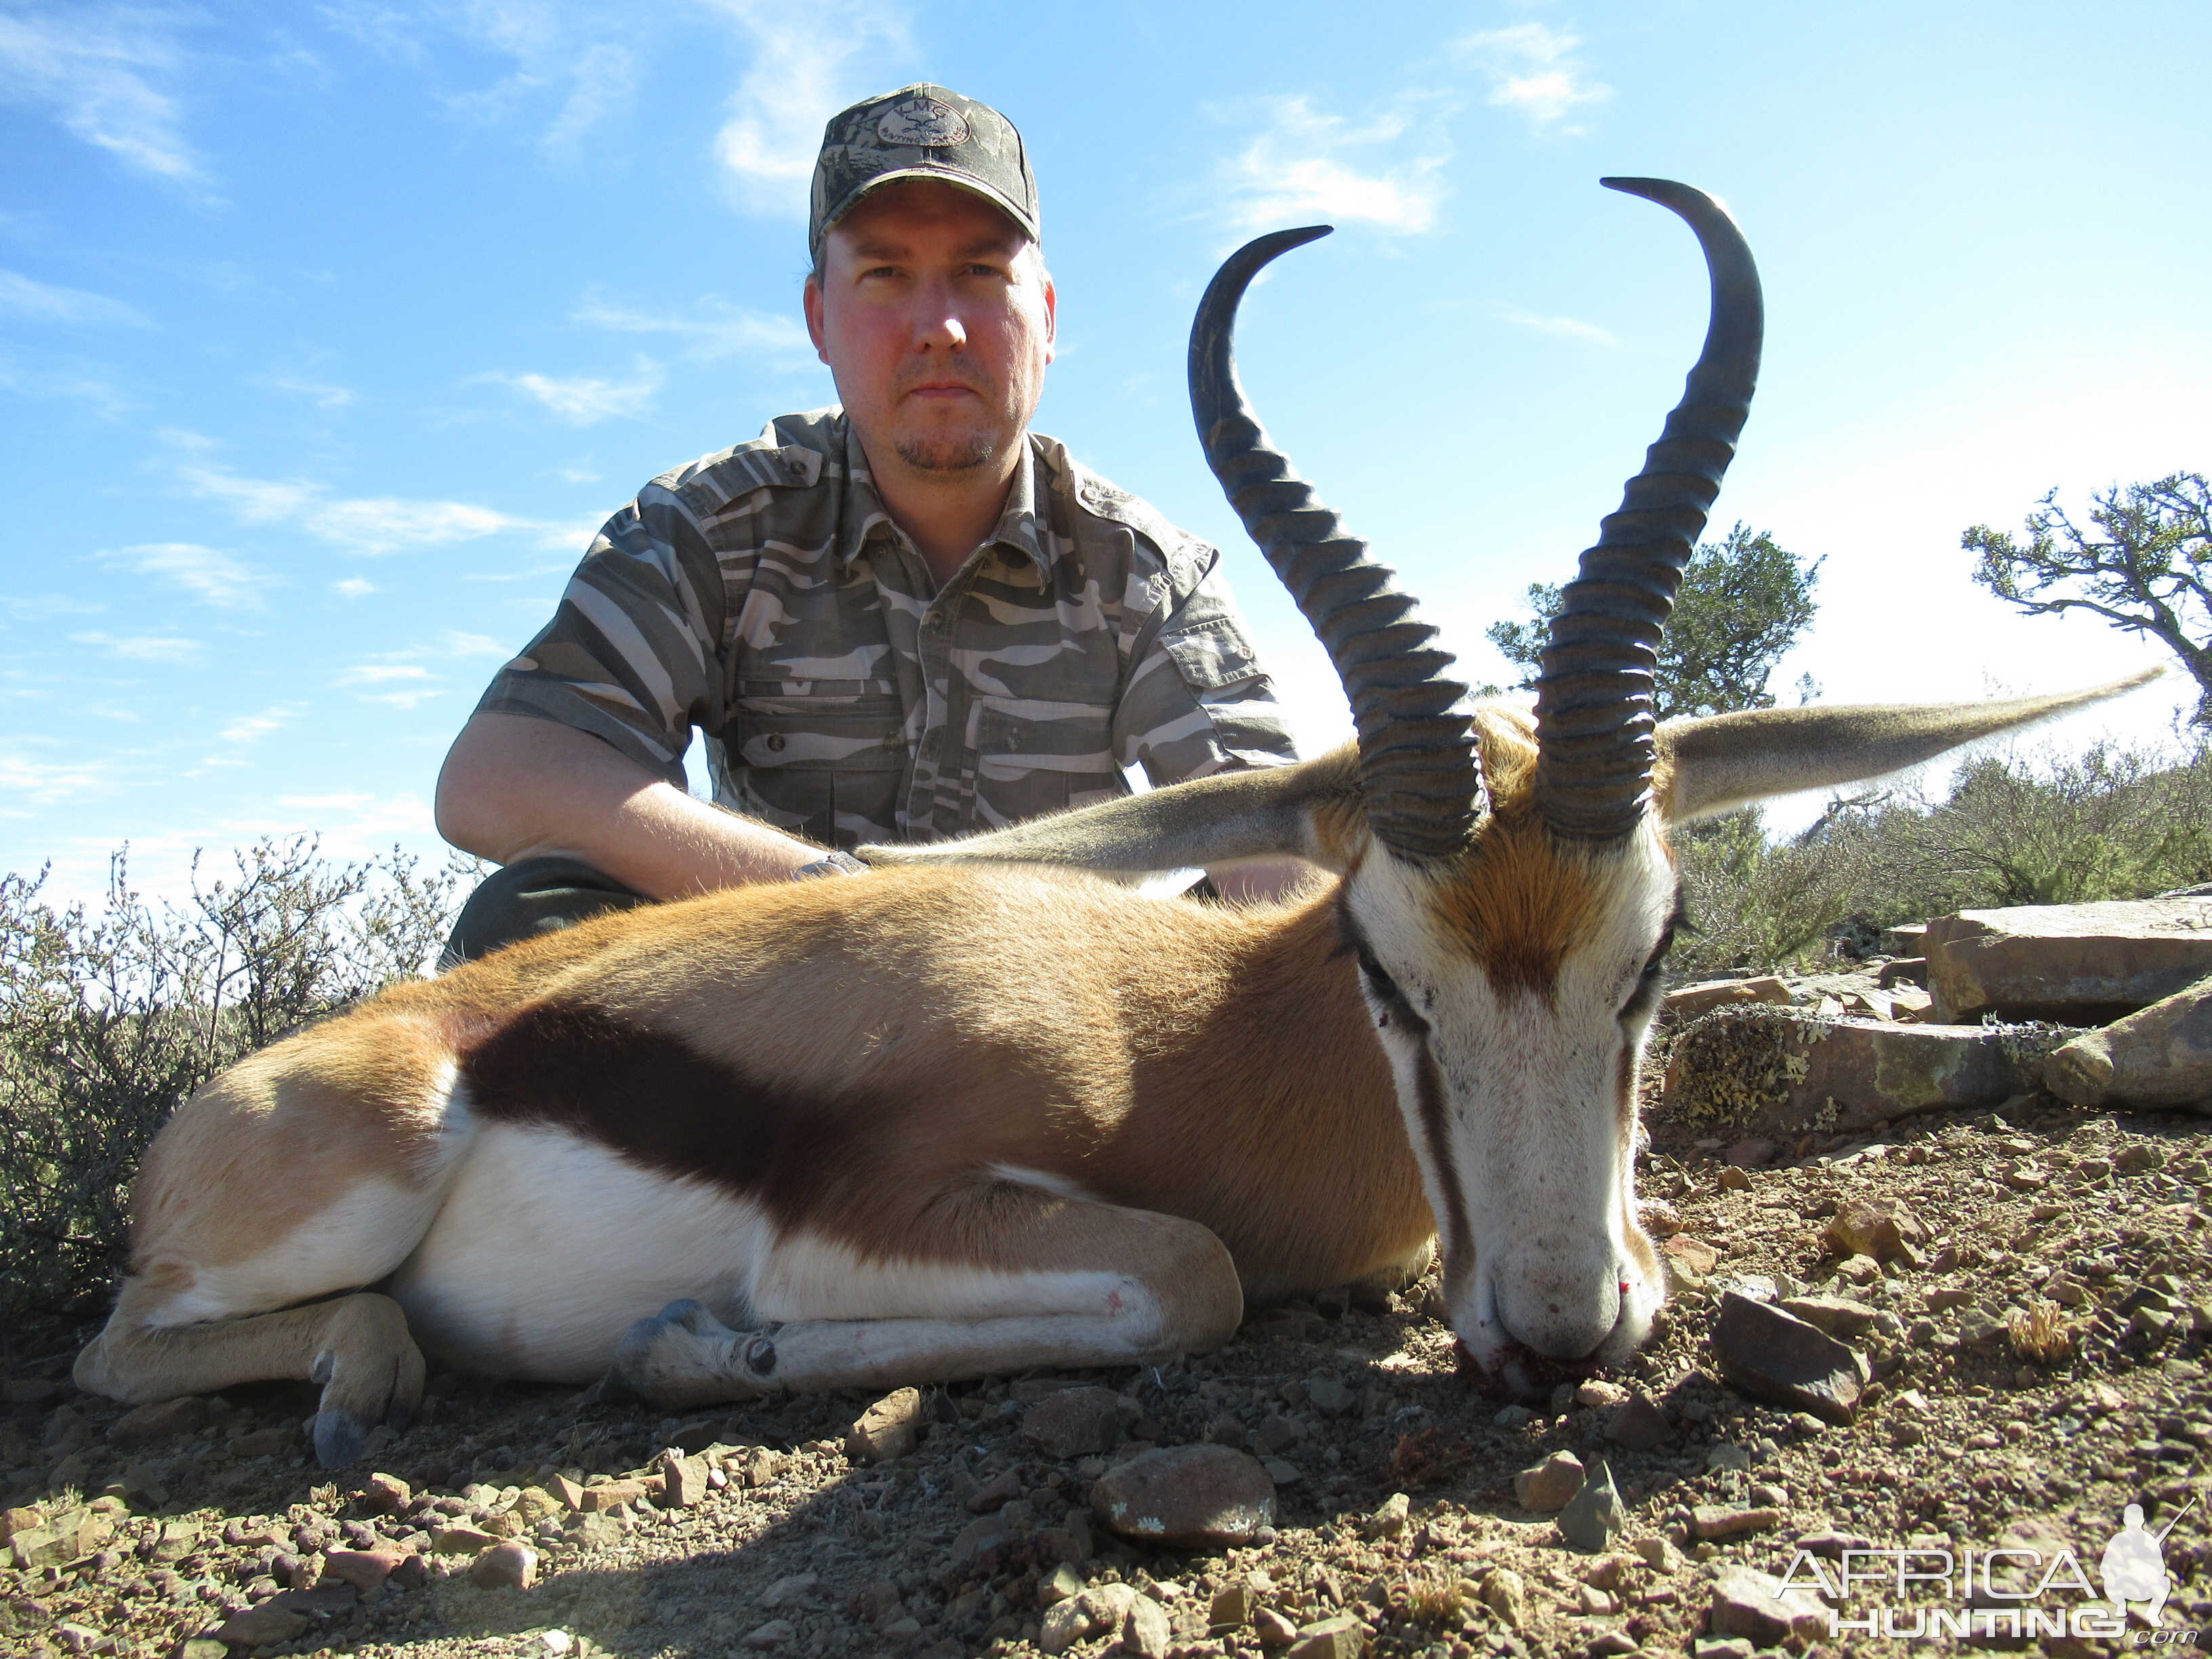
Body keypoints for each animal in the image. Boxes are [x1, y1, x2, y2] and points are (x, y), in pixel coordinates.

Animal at [78, 181, 2150, 1469]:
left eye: (1662, 950)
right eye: (1384, 969)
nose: (1560, 1334)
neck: (1189, 1034)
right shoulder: (891, 1220)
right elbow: (1192, 1275)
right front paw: (700, 1346)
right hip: (355, 1183)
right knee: (158, 1348)